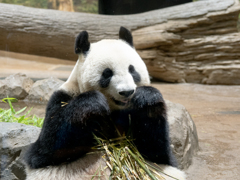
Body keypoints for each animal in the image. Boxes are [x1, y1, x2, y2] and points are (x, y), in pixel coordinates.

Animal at [23, 26, 186, 180]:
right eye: (107, 73)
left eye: (132, 70)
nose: (127, 92)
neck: (114, 110)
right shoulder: (62, 98)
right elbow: (49, 147)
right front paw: (93, 103)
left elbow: (157, 152)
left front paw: (146, 97)